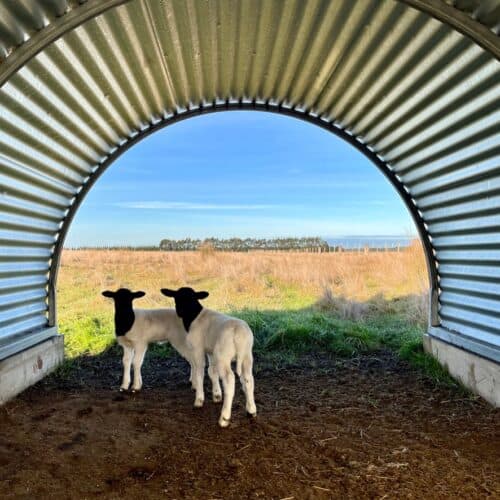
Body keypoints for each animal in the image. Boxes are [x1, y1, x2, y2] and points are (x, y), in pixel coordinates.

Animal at [161, 288, 258, 428]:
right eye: (177, 297)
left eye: (190, 298)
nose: (179, 311)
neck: (194, 316)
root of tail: (238, 332)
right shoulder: (210, 351)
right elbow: (212, 372)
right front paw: (216, 395)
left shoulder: (197, 349)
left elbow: (199, 372)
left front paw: (199, 399)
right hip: (247, 355)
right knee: (248, 379)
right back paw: (251, 411)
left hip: (223, 356)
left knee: (229, 380)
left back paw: (224, 418)